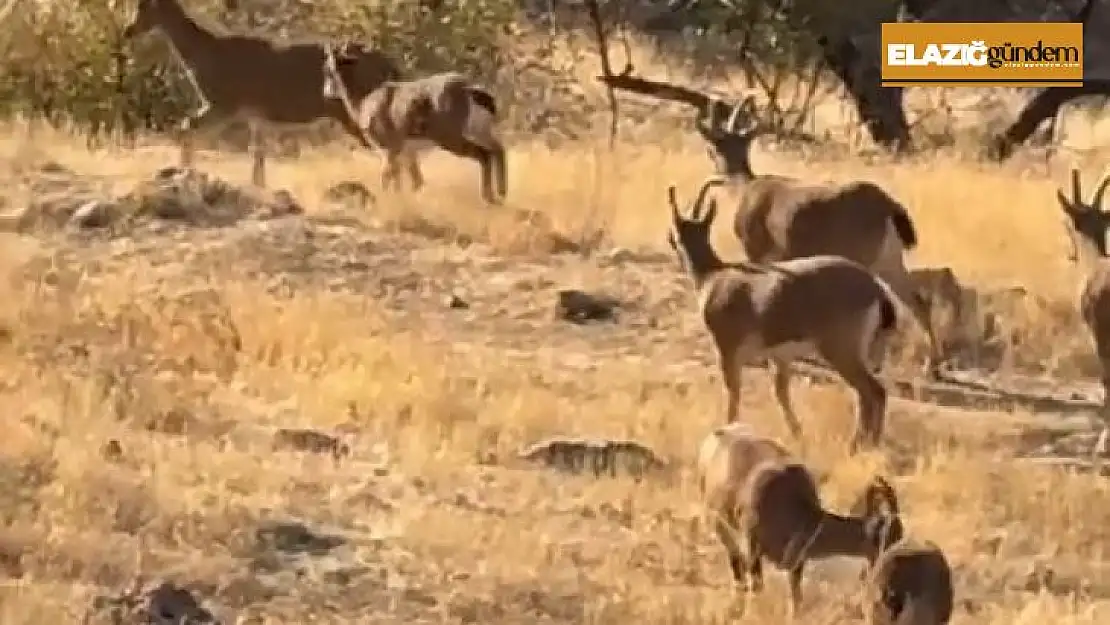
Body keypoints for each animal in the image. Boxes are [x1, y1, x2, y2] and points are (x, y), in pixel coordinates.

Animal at [321, 44, 508, 205]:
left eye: (329, 69)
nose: (326, 92)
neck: (365, 98)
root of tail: (469, 89)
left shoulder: (389, 149)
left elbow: (388, 176)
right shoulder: (406, 153)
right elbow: (412, 181)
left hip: (452, 140)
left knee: (484, 155)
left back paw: (489, 197)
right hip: (479, 132)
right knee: (498, 150)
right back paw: (501, 193)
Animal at [666, 178, 901, 448]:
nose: (671, 240)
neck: (714, 276)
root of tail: (875, 288)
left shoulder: (727, 350)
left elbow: (733, 391)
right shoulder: (780, 356)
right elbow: (781, 393)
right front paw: (797, 434)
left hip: (841, 351)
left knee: (872, 391)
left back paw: (856, 446)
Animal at [692, 101, 945, 377]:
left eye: (711, 149)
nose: (714, 170)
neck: (743, 190)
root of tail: (889, 206)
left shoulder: (757, 251)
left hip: (865, 257)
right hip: (889, 260)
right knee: (917, 301)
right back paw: (931, 366)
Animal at [697, 426, 905, 617]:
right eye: (890, 539)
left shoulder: (796, 563)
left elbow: (796, 598)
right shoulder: (751, 547)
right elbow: (757, 586)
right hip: (722, 530)